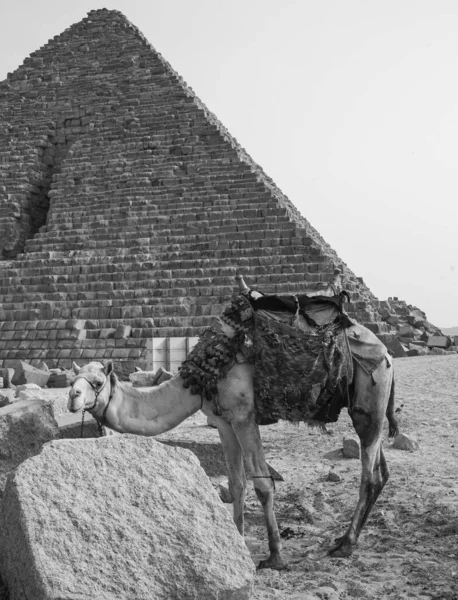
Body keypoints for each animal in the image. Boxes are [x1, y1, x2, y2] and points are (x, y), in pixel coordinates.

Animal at [67, 274, 398, 568]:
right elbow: (236, 483)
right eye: (73, 379)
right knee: (381, 470)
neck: (202, 375)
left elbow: (263, 484)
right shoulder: (224, 422)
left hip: (370, 395)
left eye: (97, 382)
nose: (71, 397)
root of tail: (386, 353)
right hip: (369, 408)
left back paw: (347, 543)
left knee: (369, 475)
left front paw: (275, 557)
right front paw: (238, 541)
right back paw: (346, 538)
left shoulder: (243, 416)